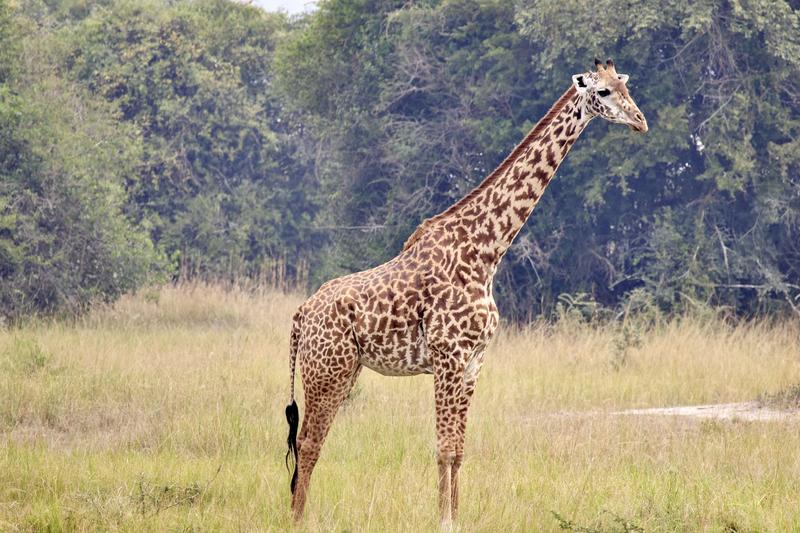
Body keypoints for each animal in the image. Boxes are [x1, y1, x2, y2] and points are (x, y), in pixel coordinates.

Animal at [284, 59, 648, 524]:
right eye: (602, 92)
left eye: (625, 86)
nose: (640, 121)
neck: (486, 250)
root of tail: (300, 315)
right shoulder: (448, 357)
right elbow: (442, 449)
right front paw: (442, 520)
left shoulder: (474, 362)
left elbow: (459, 450)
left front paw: (456, 517)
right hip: (327, 372)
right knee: (309, 443)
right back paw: (298, 519)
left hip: (342, 371)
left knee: (306, 443)